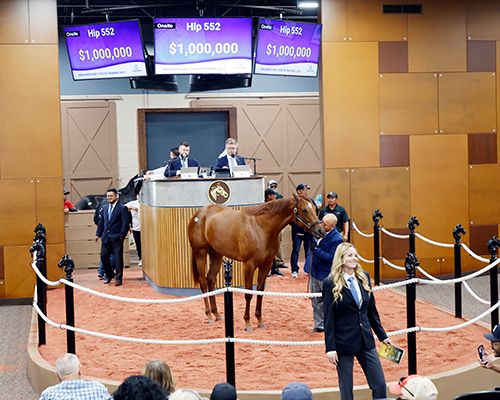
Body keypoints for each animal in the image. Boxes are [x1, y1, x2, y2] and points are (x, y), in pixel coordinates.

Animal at [188, 194, 324, 332]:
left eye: (315, 209)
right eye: (304, 210)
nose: (321, 230)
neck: (260, 228)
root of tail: (199, 214)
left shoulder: (266, 265)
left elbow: (260, 292)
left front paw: (260, 321)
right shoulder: (249, 265)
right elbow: (248, 294)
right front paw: (247, 323)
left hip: (216, 255)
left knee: (211, 279)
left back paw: (216, 314)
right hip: (200, 253)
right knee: (203, 282)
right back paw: (209, 315)